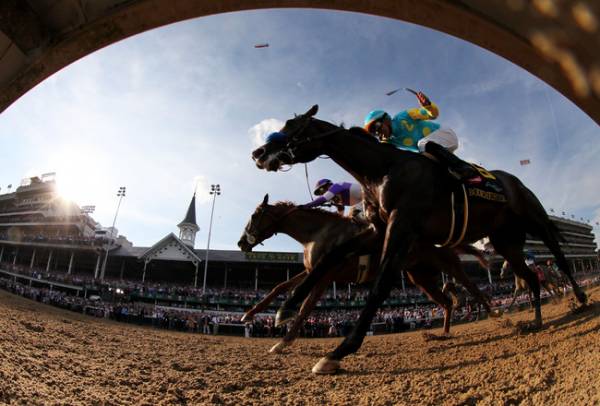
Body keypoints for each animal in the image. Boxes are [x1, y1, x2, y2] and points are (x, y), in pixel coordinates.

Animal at [237, 196, 500, 352]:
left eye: (254, 216)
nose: (241, 242)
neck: (318, 232)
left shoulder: (326, 275)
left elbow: (306, 307)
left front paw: (283, 342)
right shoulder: (312, 270)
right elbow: (279, 287)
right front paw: (249, 314)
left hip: (448, 265)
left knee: (471, 287)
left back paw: (495, 314)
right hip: (420, 277)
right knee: (446, 300)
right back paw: (444, 332)